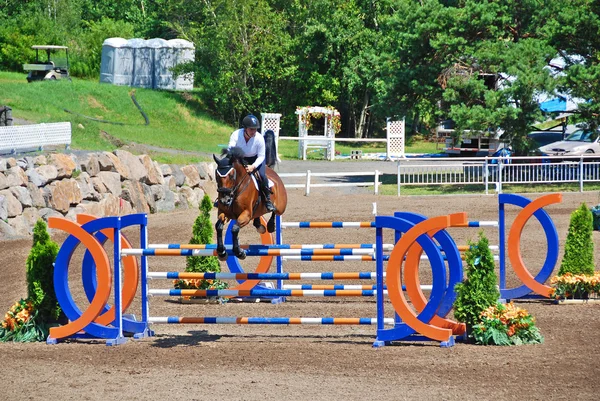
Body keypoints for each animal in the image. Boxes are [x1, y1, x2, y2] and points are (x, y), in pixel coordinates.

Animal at [213, 130, 288, 260]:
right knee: (258, 214)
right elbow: (218, 226)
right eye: (216, 175)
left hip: (281, 207)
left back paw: (270, 225)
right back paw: (259, 225)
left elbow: (234, 229)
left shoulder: (246, 214)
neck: (235, 191)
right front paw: (222, 252)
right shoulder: (224, 213)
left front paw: (239, 252)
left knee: (275, 211)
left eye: (231, 175)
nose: (225, 200)